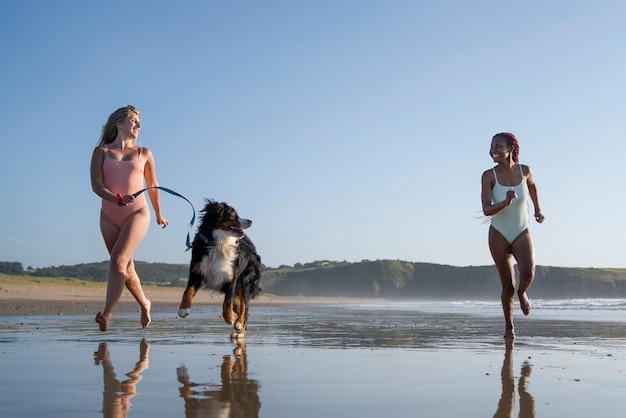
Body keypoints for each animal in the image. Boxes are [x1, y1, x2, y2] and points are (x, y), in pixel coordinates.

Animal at [178, 199, 260, 340]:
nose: (250, 221)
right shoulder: (196, 272)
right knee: (241, 307)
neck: (218, 243)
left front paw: (229, 317)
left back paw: (239, 326)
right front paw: (183, 309)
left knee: (245, 307)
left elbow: (227, 300)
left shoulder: (232, 278)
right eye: (232, 213)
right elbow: (188, 291)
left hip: (244, 281)